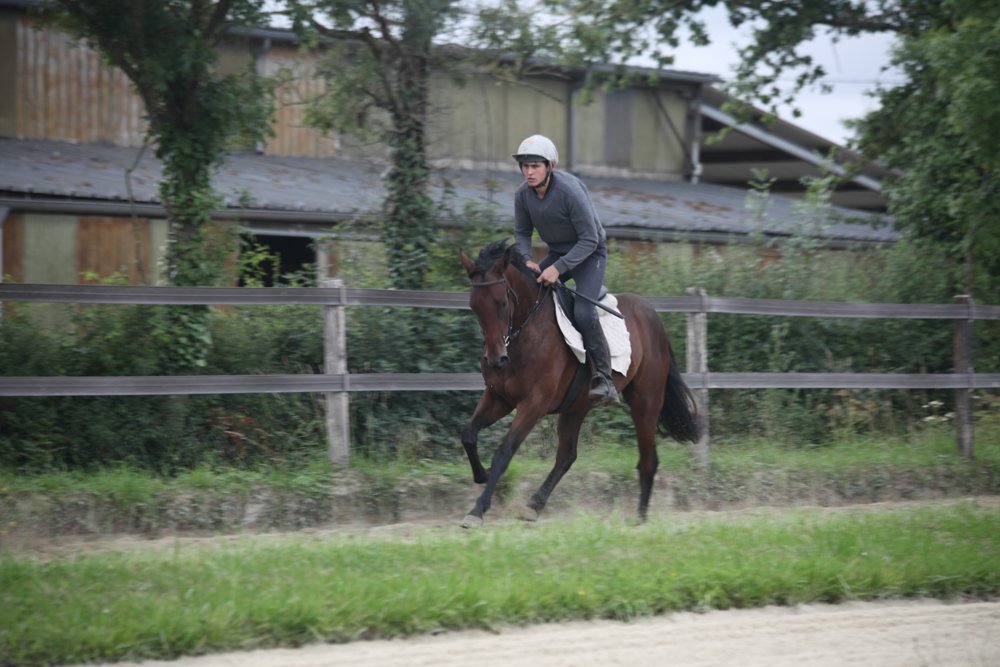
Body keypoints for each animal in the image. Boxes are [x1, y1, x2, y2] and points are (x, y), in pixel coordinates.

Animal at [458, 239, 698, 527]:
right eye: (474, 306)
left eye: (502, 303)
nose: (495, 360)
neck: (525, 334)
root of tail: (653, 317)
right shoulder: (499, 398)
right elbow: (468, 433)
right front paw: (482, 475)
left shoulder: (533, 404)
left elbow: (505, 452)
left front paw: (477, 510)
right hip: (576, 406)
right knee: (567, 456)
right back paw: (533, 505)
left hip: (645, 402)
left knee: (647, 458)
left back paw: (640, 518)